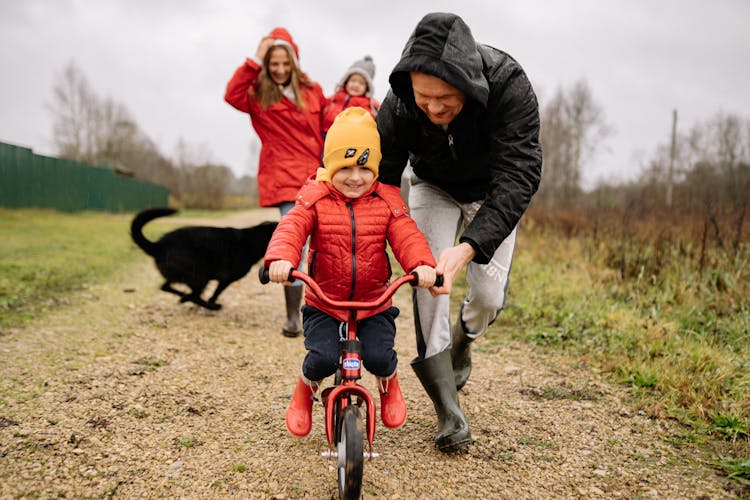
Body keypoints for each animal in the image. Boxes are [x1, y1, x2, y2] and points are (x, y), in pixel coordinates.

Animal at [130, 207, 280, 308]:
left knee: (166, 287)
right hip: (200, 276)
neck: (253, 239)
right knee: (194, 295)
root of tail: (159, 245)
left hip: (185, 276)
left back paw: (185, 297)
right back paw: (210, 306)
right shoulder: (226, 279)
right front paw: (211, 302)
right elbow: (217, 292)